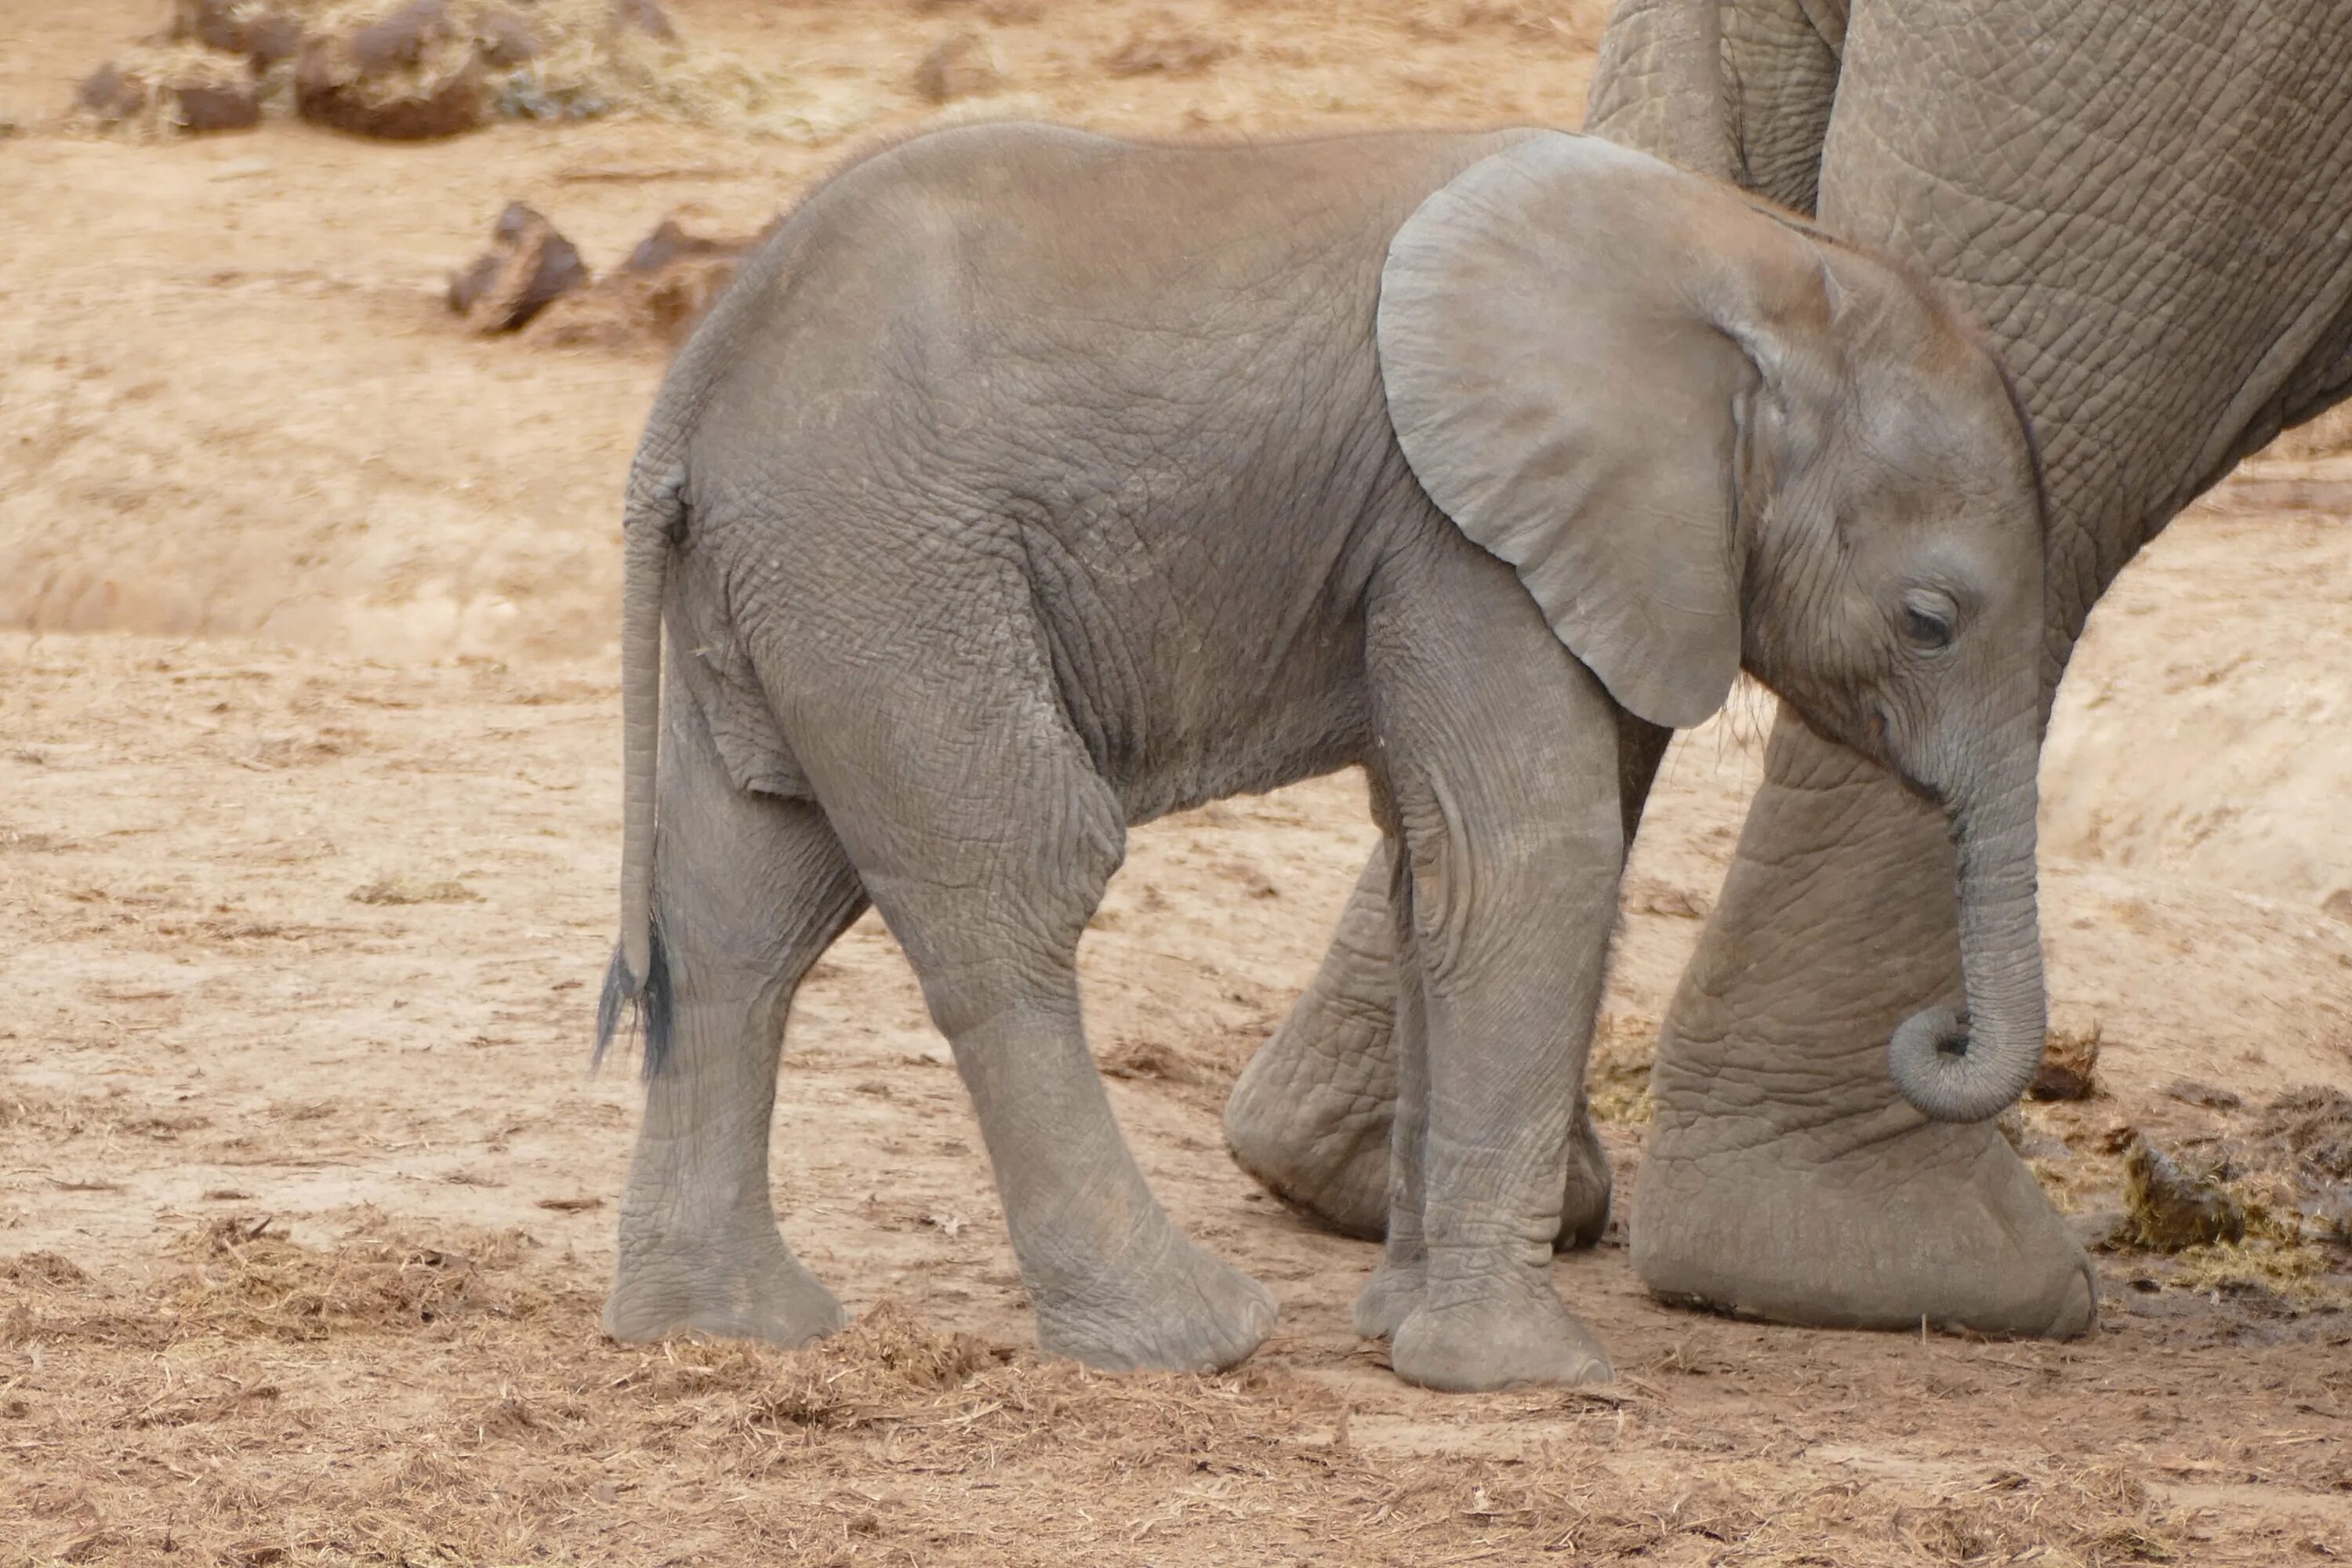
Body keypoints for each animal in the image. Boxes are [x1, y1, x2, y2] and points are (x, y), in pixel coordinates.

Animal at [597, 125, 2051, 1401]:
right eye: (1930, 620)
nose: (1935, 1031)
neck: (1765, 265)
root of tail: (691, 385)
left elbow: (1432, 870)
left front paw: (1400, 1326)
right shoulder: (1462, 532)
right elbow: (1527, 858)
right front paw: (1525, 1377)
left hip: (793, 592)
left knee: (741, 913)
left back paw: (725, 1331)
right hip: (890, 569)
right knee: (1011, 890)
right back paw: (1190, 1340)